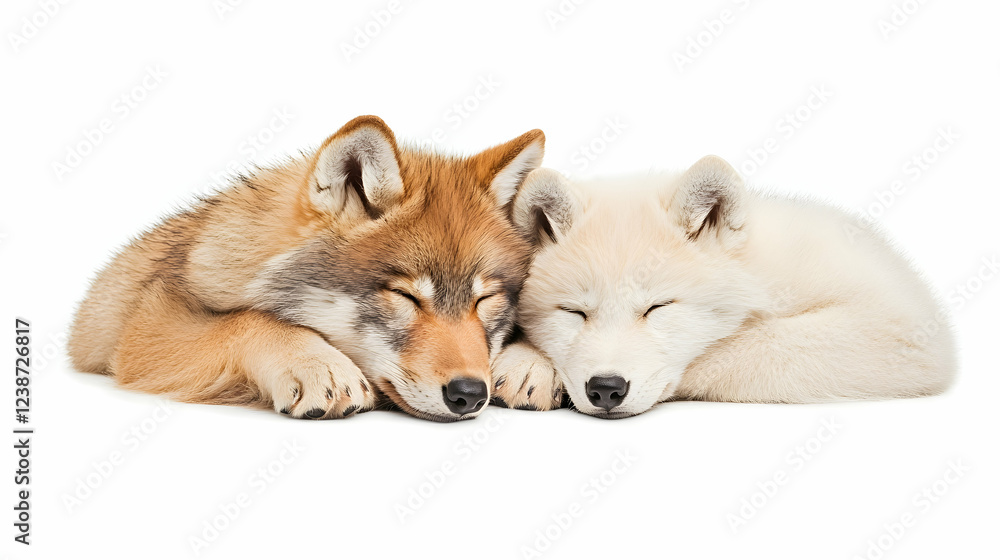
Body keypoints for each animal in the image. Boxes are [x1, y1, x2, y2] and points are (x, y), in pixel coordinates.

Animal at [68, 115, 547, 422]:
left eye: (484, 300)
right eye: (405, 296)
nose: (469, 393)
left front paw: (529, 363)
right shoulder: (150, 328)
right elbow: (246, 320)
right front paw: (318, 364)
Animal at [498, 156, 957, 418]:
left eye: (658, 307)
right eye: (574, 312)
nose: (606, 389)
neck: (758, 275)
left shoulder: (898, 327)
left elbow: (739, 351)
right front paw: (527, 362)